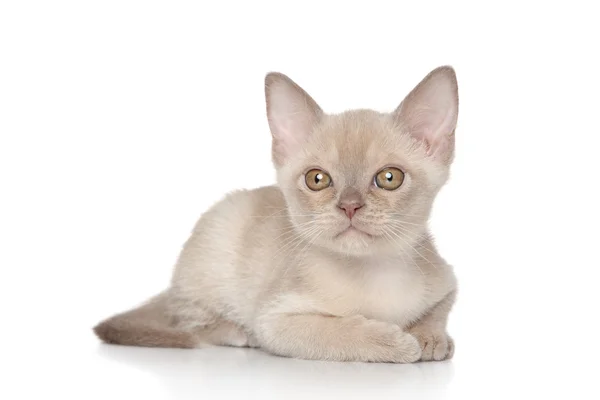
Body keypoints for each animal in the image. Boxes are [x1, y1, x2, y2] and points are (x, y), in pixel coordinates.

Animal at [94, 65, 460, 362]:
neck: (372, 272)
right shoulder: (275, 320)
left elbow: (437, 312)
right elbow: (339, 332)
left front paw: (430, 339)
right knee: (192, 320)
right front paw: (397, 343)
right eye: (317, 179)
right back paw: (238, 333)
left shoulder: (448, 283)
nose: (349, 205)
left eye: (389, 178)